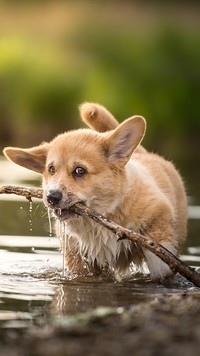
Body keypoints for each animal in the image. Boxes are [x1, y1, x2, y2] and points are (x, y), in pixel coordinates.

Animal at [3, 102, 188, 280]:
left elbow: (159, 261)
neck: (101, 219)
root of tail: (146, 153)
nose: (51, 197)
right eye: (51, 169)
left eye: (80, 170)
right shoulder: (79, 258)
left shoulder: (159, 215)